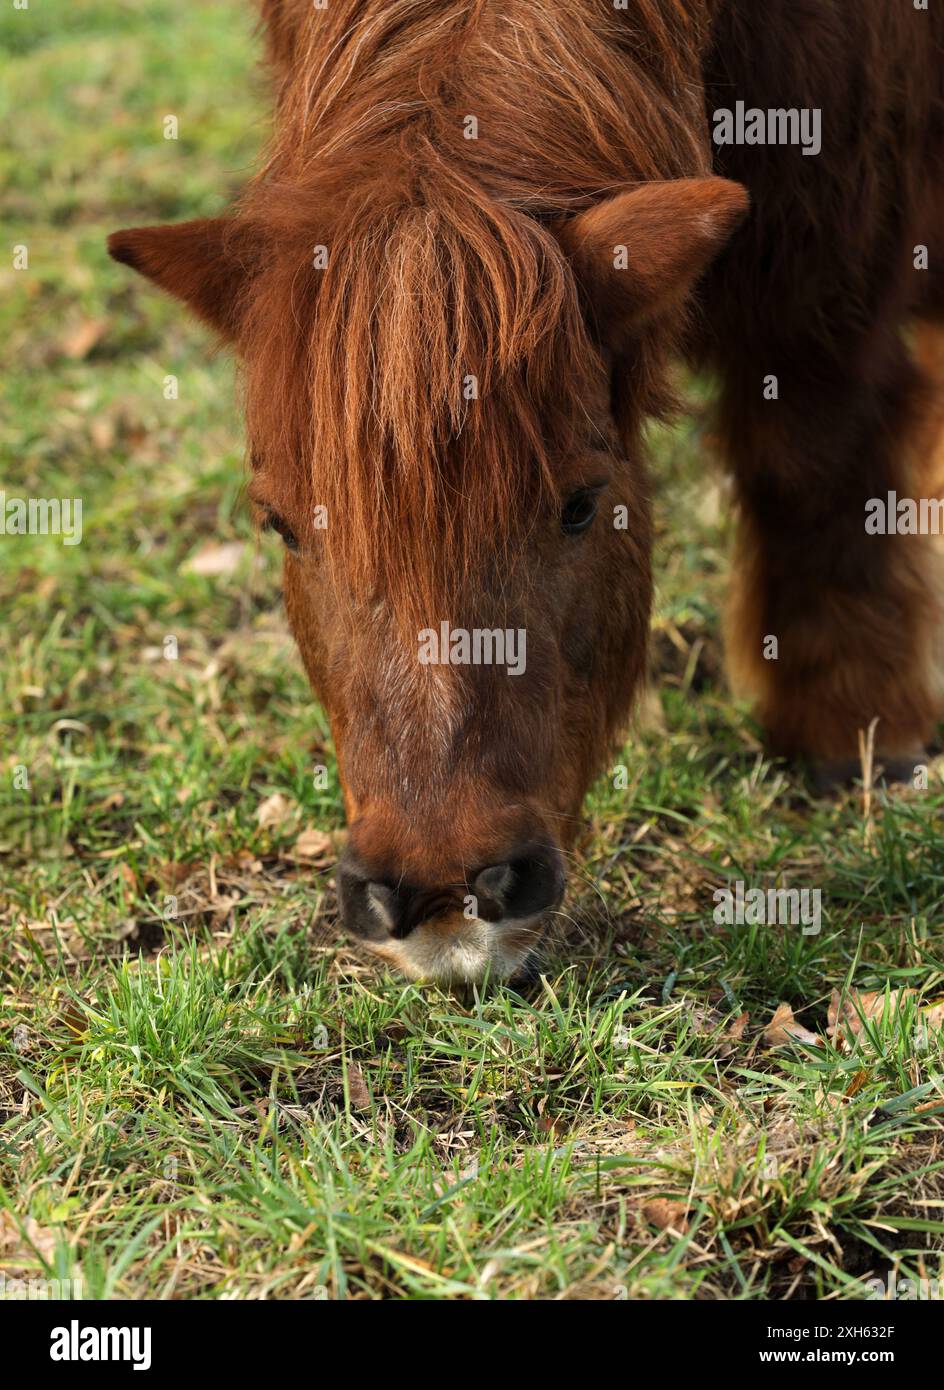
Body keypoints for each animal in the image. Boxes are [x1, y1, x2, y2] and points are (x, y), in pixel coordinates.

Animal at [109, 0, 944, 984]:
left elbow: (813, 456)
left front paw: (852, 731)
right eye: (281, 524)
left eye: (580, 504)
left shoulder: (833, 245)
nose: (442, 895)